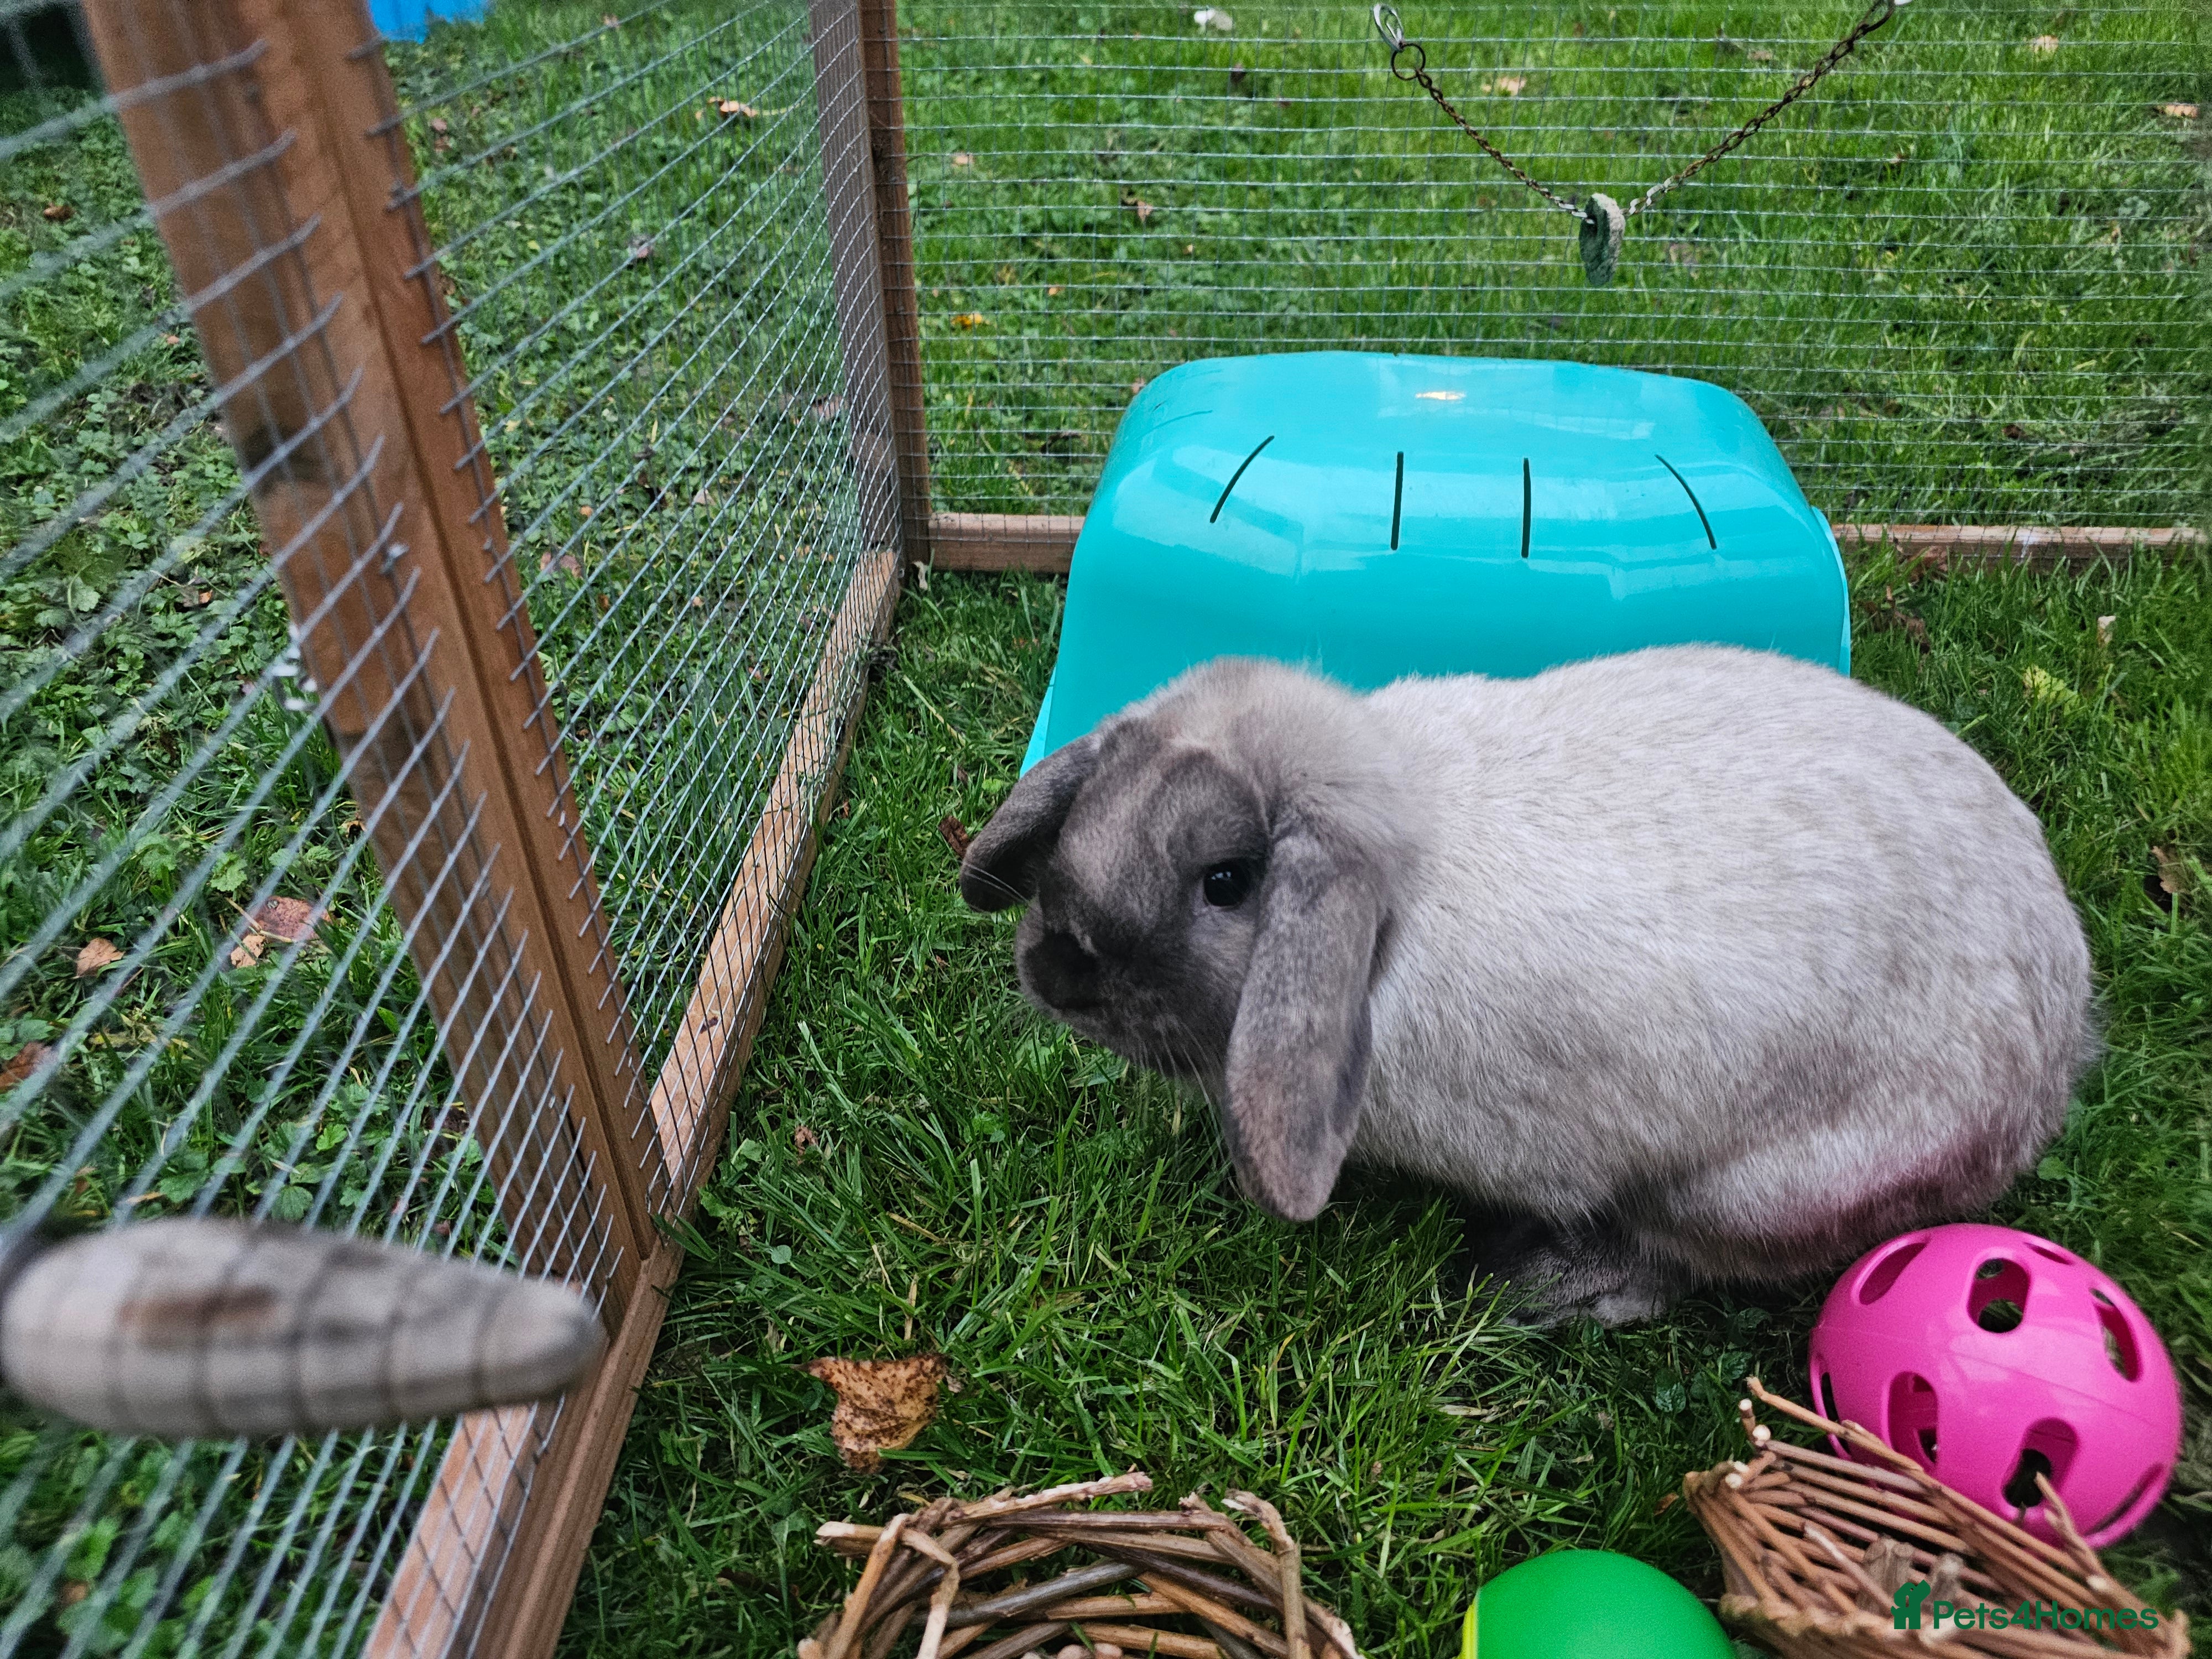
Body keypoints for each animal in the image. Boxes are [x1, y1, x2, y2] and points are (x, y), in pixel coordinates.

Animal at [959, 646, 2093, 1325]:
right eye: (1089, 810)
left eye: (1228, 882)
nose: (1054, 971)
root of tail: (2056, 1062)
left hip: (1746, 1191)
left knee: (1688, 1257)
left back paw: (1551, 1284)